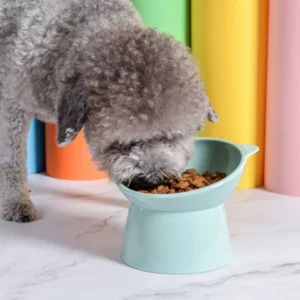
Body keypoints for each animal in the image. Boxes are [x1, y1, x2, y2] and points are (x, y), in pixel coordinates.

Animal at [0, 0, 217, 220]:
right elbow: (12, 160)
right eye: (120, 143)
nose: (151, 181)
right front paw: (16, 202)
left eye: (172, 137)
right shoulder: (11, 105)